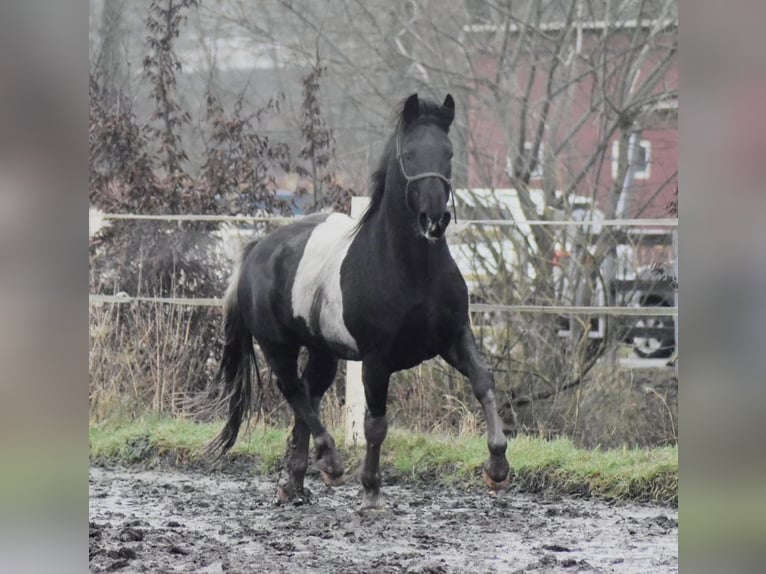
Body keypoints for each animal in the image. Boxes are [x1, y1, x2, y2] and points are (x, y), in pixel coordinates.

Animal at [207, 94, 512, 512]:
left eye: (448, 153)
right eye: (410, 154)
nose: (435, 218)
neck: (412, 271)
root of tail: (256, 249)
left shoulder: (454, 337)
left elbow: (484, 382)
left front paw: (497, 466)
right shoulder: (376, 359)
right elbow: (375, 424)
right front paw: (371, 490)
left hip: (322, 350)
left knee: (308, 393)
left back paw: (294, 482)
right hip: (278, 346)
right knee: (293, 391)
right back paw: (330, 462)